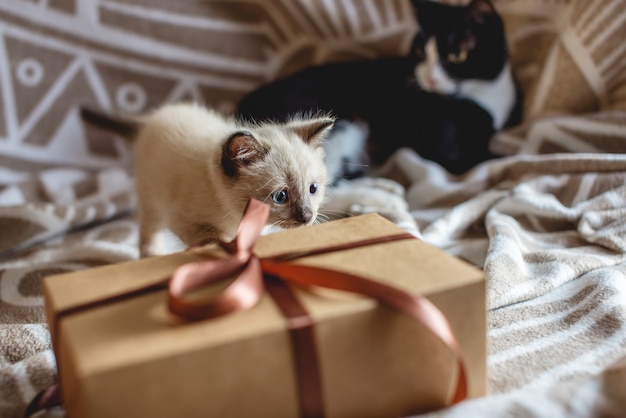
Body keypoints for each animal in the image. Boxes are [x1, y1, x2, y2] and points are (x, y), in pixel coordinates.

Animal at [236, 0, 520, 178]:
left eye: (457, 55)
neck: (485, 93)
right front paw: (512, 157)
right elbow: (476, 158)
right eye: (420, 52)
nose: (429, 78)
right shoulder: (445, 150)